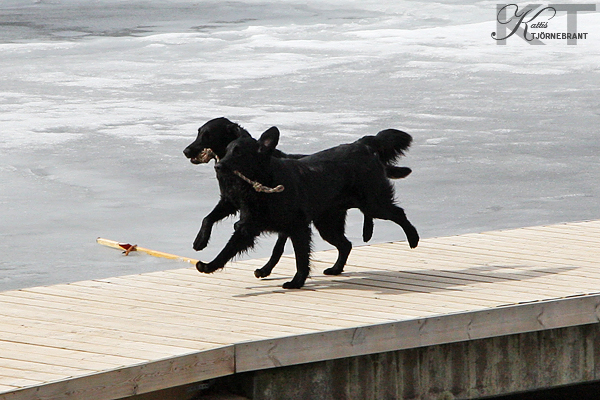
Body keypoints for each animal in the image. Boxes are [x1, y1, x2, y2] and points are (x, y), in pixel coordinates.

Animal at [183, 115, 410, 278]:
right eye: (198, 133)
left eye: (207, 135)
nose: (186, 150)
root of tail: (363, 144)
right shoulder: (231, 202)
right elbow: (208, 218)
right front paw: (200, 241)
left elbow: (282, 248)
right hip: (329, 221)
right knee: (346, 242)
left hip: (367, 204)